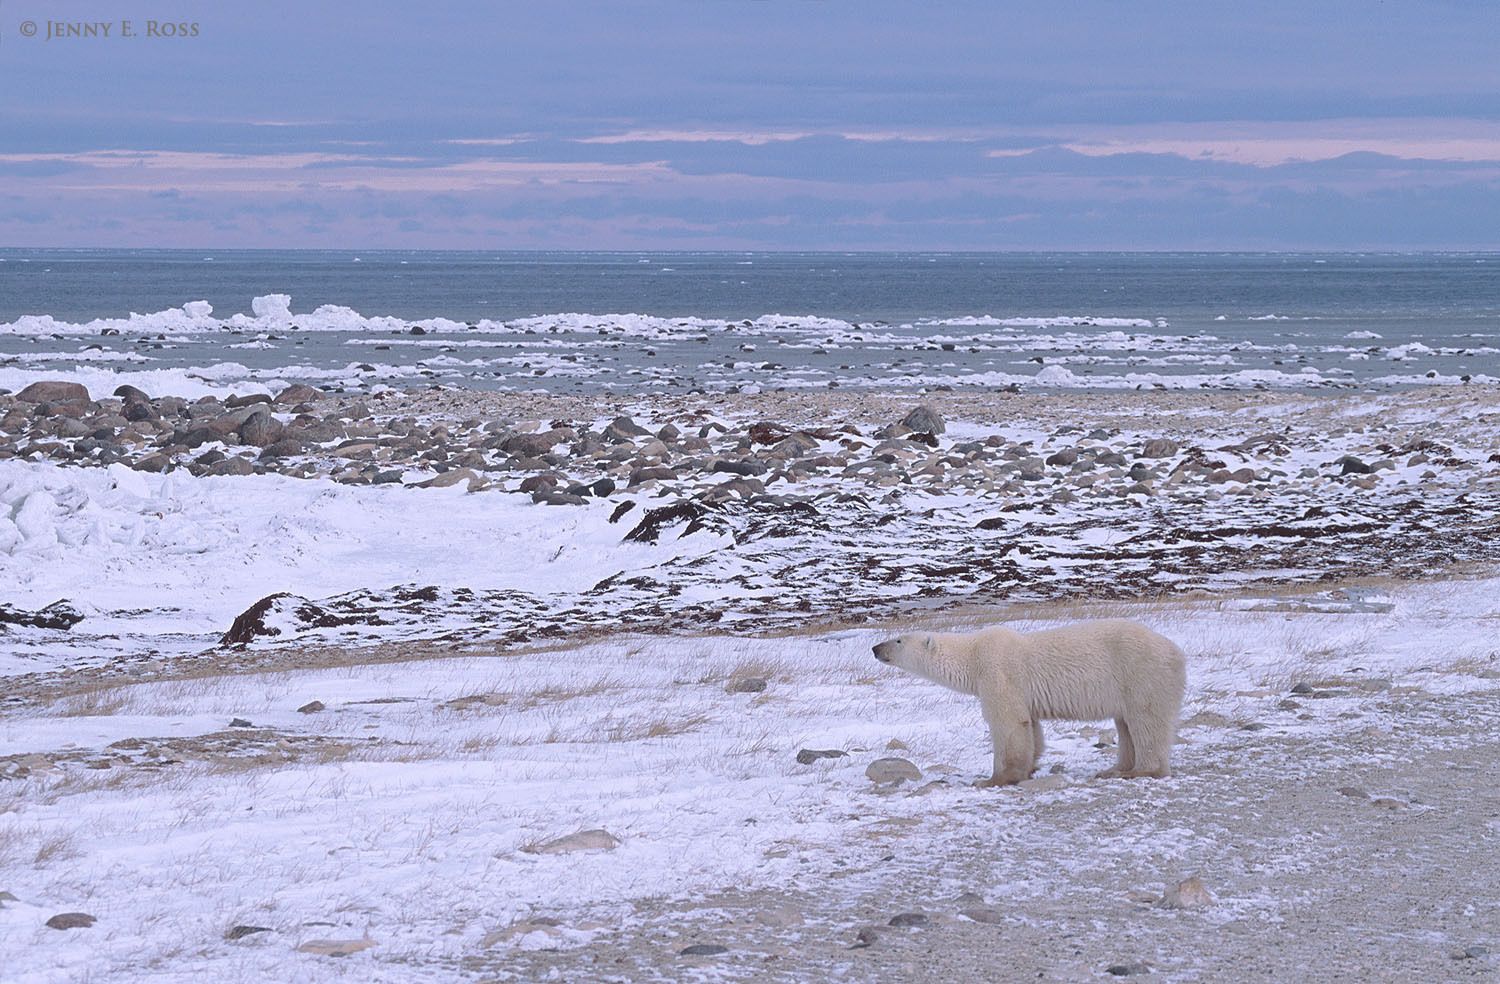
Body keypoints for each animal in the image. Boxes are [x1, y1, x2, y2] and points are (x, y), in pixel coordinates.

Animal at [872, 620, 1186, 786]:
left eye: (898, 640)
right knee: (1125, 724)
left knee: (1145, 721)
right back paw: (1114, 769)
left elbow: (1008, 723)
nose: (875, 648)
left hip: (1140, 673)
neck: (972, 656)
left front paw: (994, 779)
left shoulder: (998, 673)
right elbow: (1031, 727)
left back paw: (1139, 770)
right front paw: (1031, 767)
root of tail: (1176, 651)